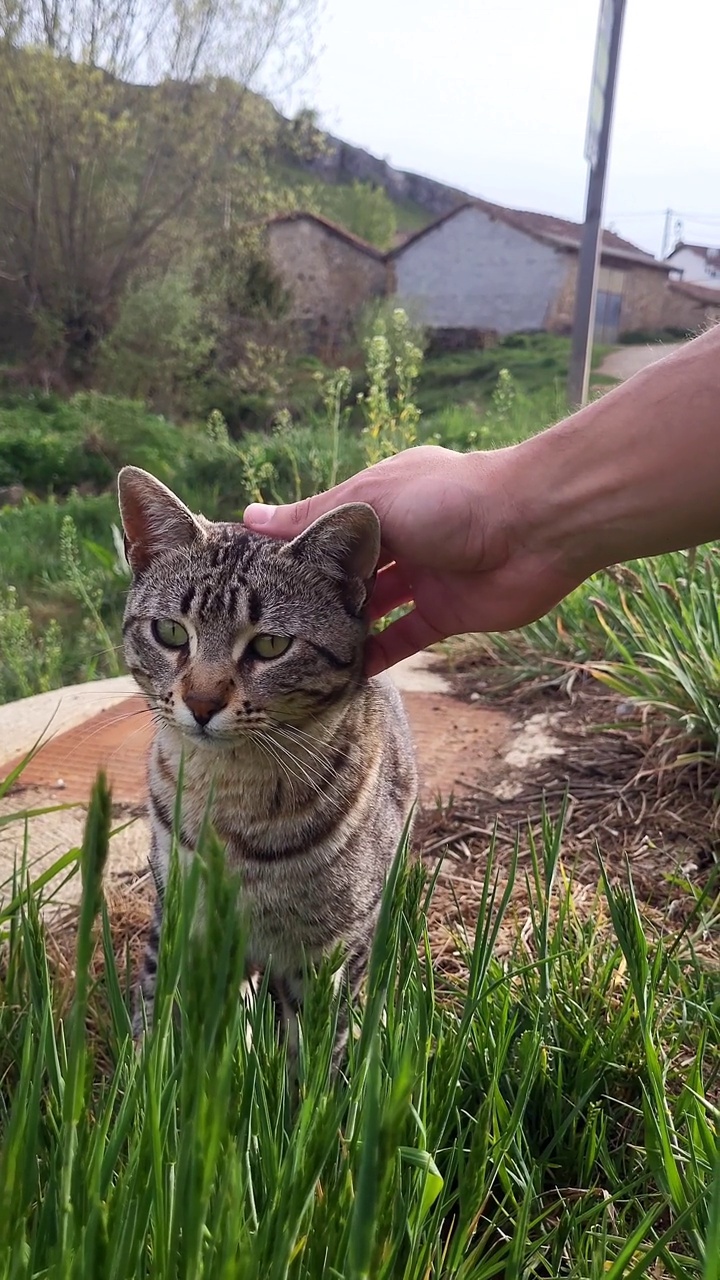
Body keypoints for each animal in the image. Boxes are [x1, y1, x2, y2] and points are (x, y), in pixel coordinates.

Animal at [116, 465, 415, 1054]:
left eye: (271, 645)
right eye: (170, 632)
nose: (201, 703)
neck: (231, 793)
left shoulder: (330, 951)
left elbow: (319, 1054)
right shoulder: (178, 913)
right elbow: (158, 1012)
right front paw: (140, 1067)